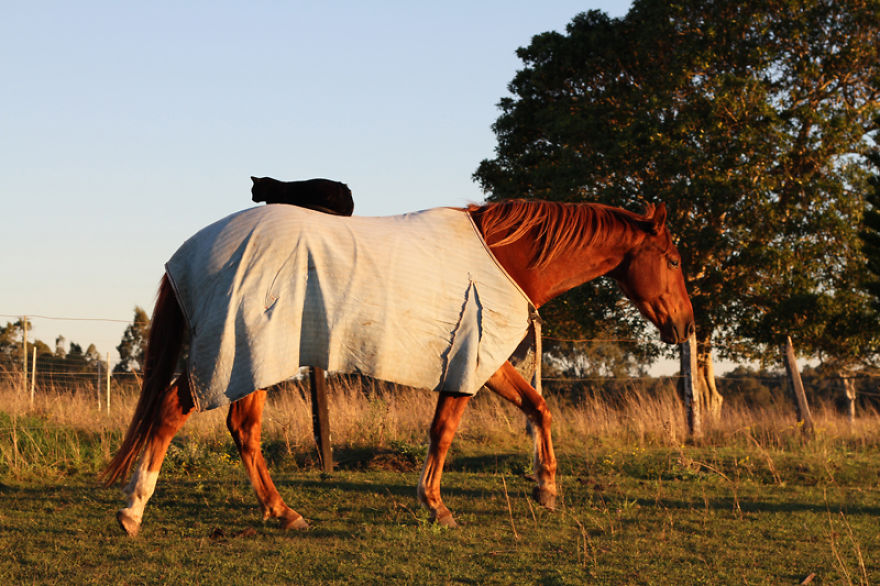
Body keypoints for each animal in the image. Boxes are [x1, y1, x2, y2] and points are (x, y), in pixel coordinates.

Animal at [102, 199, 694, 535]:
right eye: (672, 260)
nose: (685, 326)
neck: (507, 258)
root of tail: (190, 252)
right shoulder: (468, 360)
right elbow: (443, 432)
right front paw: (435, 506)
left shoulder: (486, 363)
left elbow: (538, 408)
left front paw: (545, 489)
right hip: (241, 354)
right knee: (176, 412)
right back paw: (133, 510)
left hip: (256, 360)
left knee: (241, 430)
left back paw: (281, 511)